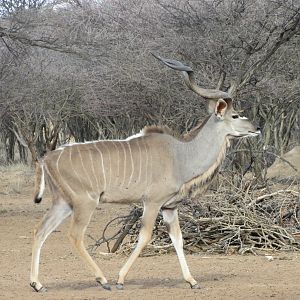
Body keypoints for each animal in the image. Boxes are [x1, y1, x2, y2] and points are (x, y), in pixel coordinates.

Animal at [29, 54, 260, 292]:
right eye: (235, 115)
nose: (256, 128)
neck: (180, 154)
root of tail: (47, 158)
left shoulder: (169, 207)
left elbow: (178, 239)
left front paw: (192, 281)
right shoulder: (152, 202)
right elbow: (145, 236)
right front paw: (120, 279)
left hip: (63, 203)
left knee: (40, 231)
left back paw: (37, 284)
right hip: (85, 202)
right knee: (74, 235)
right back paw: (103, 280)